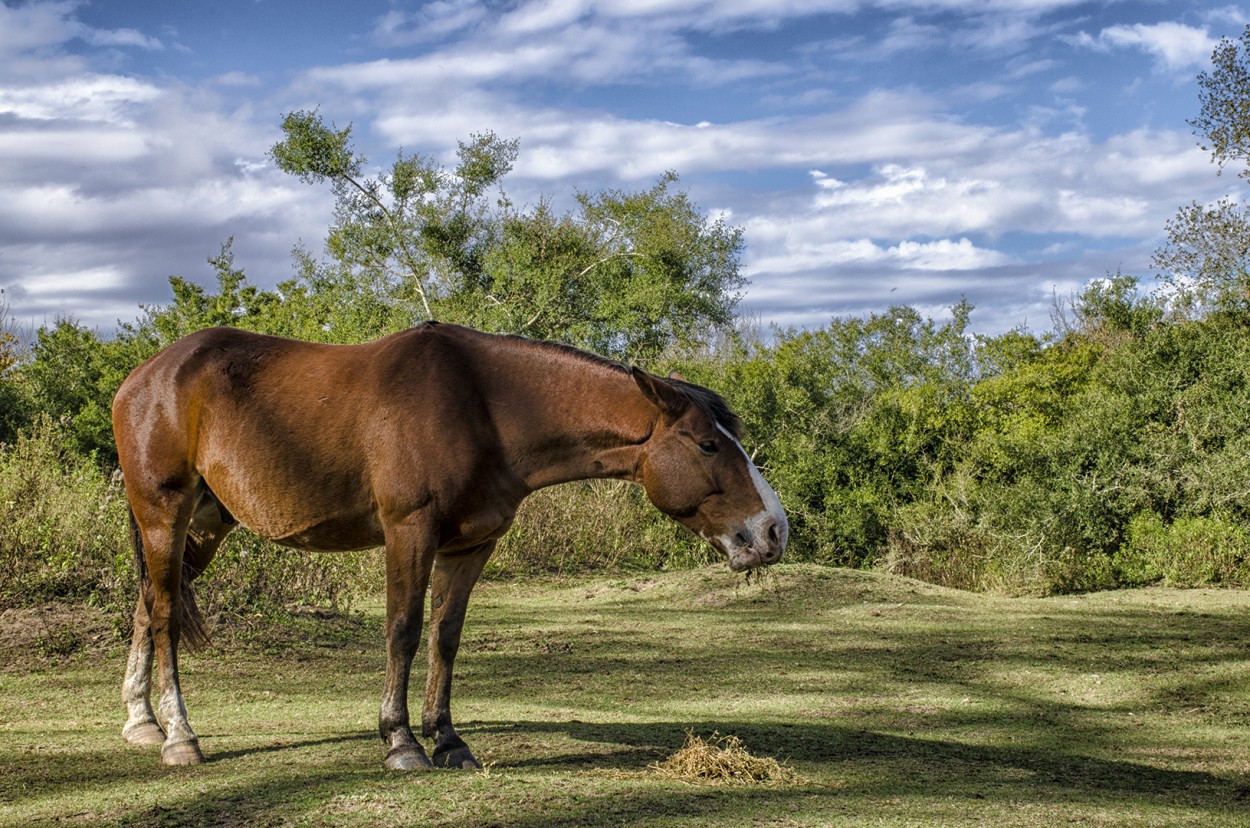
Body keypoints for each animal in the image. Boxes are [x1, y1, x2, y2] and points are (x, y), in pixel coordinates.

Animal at [112, 322, 785, 770]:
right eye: (707, 443)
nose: (774, 530)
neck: (482, 407)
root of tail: (145, 378)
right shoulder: (410, 531)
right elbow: (404, 631)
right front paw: (401, 741)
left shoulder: (471, 546)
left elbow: (445, 636)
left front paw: (449, 739)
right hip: (163, 516)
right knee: (166, 615)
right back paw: (181, 737)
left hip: (203, 526)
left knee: (147, 607)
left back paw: (142, 723)